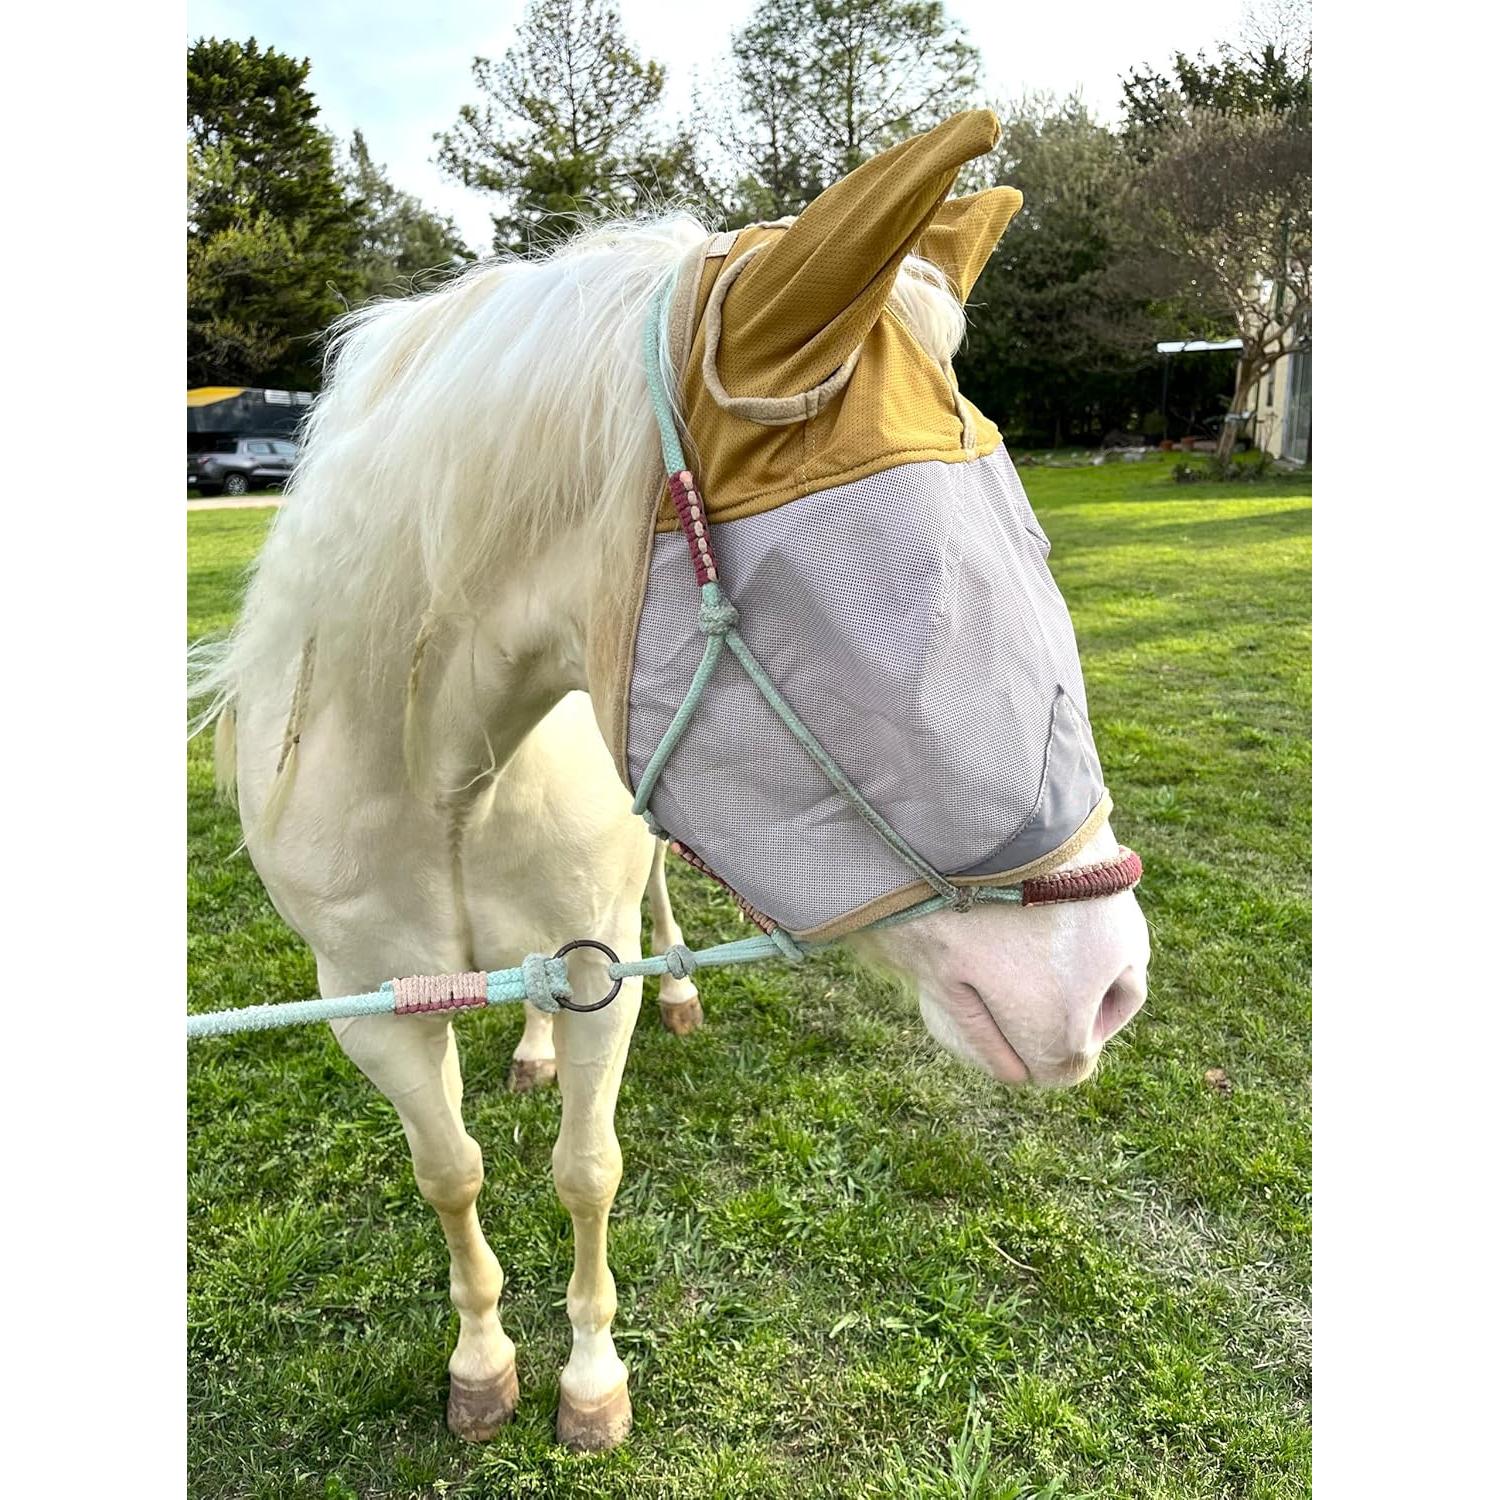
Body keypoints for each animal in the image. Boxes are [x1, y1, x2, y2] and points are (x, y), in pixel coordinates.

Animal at [191, 109, 1150, 1451]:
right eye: (904, 609)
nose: (1107, 988)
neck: (440, 776)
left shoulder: (598, 966)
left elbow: (585, 1172)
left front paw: (590, 1382)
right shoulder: (369, 1003)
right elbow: (452, 1172)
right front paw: (482, 1363)